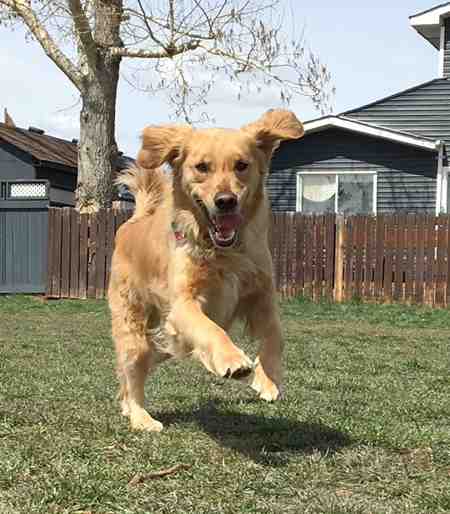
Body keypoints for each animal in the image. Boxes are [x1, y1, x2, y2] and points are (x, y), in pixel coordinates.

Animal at [108, 110, 304, 430]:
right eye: (202, 167)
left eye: (241, 165)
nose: (225, 201)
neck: (224, 253)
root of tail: (133, 222)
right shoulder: (183, 305)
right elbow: (211, 329)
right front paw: (232, 360)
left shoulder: (262, 296)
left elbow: (276, 334)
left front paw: (268, 379)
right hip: (134, 329)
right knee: (132, 369)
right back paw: (140, 417)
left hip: (163, 342)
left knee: (138, 368)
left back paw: (127, 406)